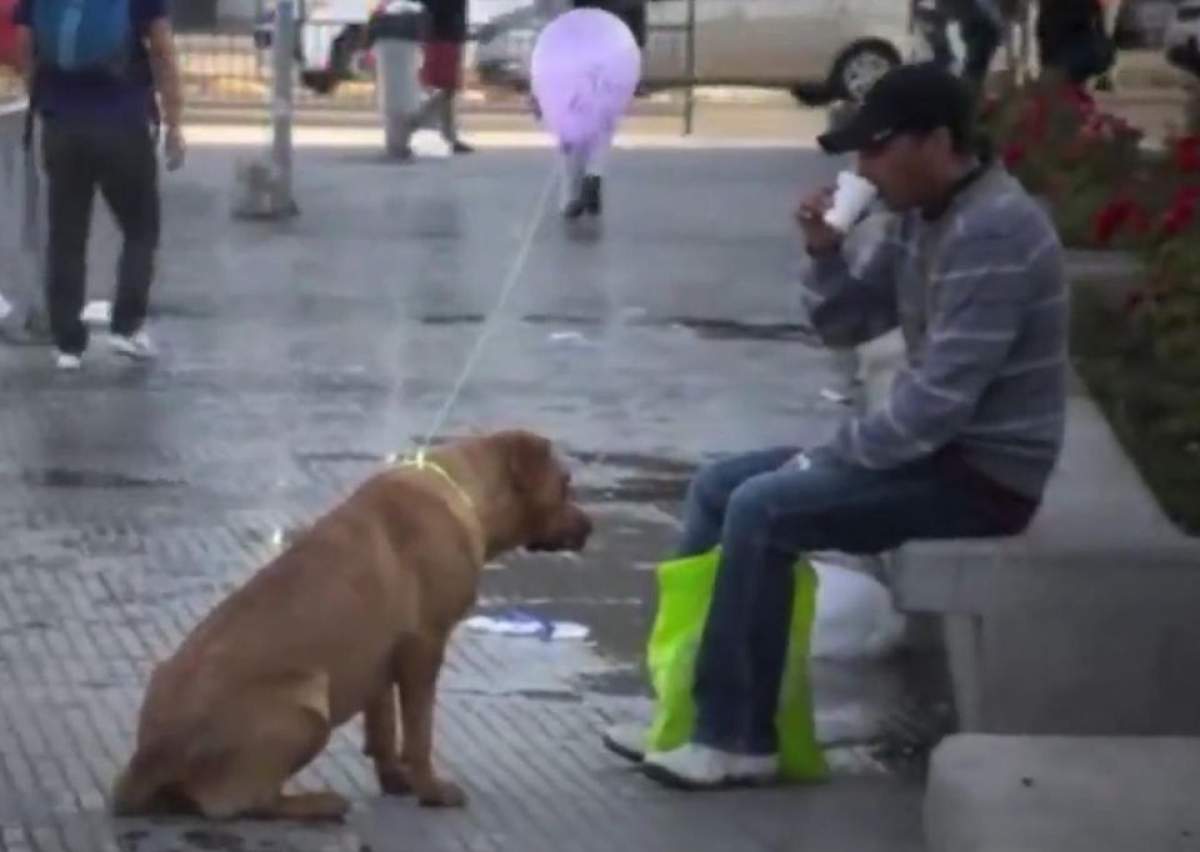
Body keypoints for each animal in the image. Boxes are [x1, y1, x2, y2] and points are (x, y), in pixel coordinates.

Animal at [114, 434, 592, 820]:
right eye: (565, 483)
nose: (590, 525)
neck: (463, 490)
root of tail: (149, 756)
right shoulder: (424, 648)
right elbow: (419, 733)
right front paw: (431, 790)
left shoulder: (380, 655)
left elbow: (383, 728)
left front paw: (395, 779)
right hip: (306, 709)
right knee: (243, 802)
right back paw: (319, 803)